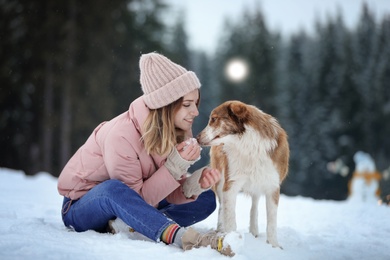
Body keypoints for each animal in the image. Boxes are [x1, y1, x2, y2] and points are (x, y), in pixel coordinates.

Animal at [197, 100, 288, 249]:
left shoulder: (272, 186)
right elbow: (230, 217)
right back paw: (221, 229)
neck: (249, 146)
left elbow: (271, 222)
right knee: (222, 208)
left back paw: (254, 230)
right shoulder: (230, 184)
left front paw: (274, 246)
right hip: (220, 180)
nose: (196, 138)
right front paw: (230, 239)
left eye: (214, 119)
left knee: (254, 204)